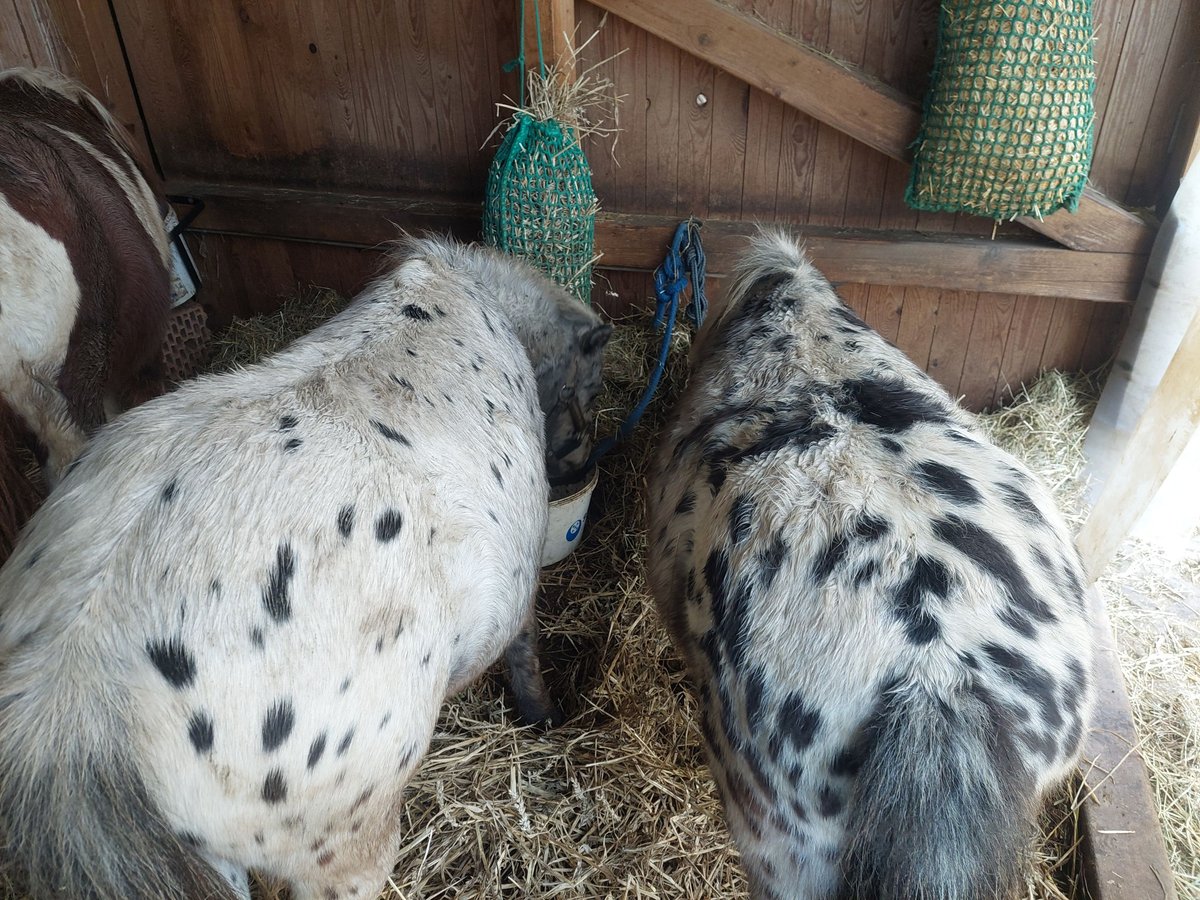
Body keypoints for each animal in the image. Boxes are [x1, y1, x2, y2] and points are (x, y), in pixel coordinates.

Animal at [0, 237, 614, 900]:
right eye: (591, 390)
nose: (581, 465)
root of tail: (74, 691)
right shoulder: (519, 588)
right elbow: (526, 652)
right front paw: (546, 717)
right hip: (347, 841)